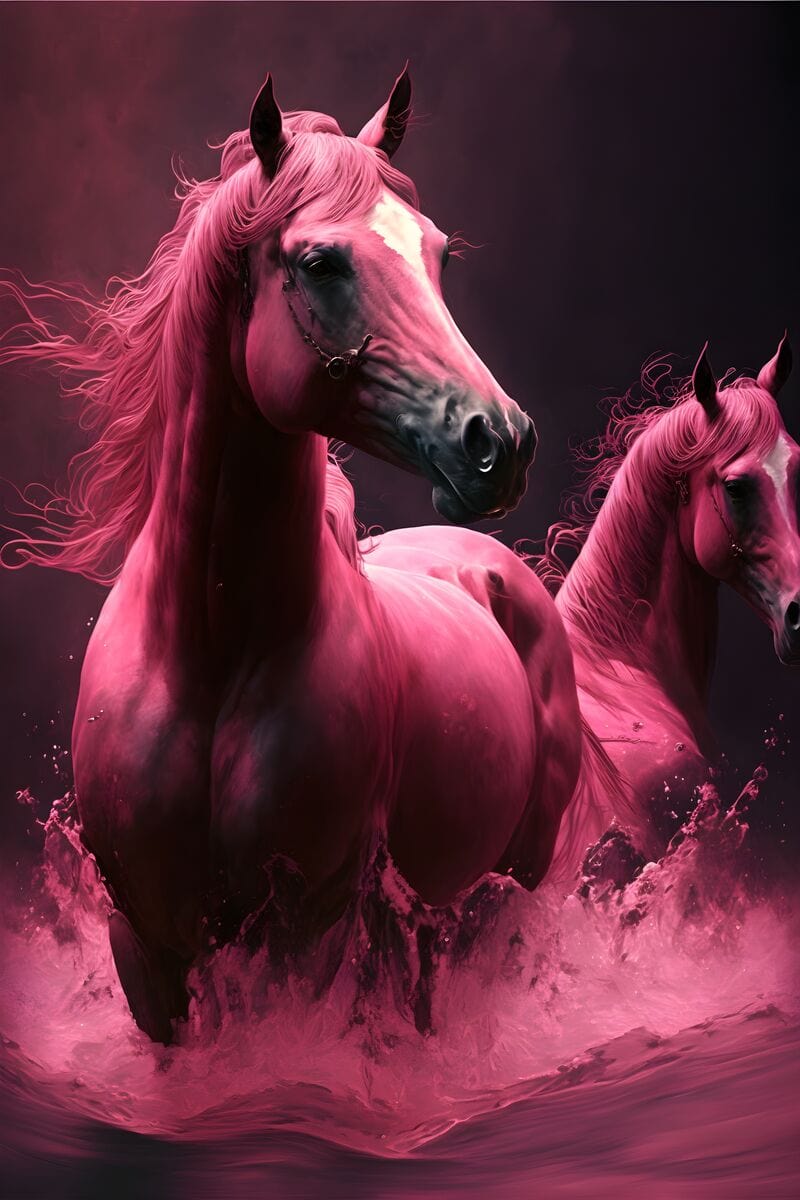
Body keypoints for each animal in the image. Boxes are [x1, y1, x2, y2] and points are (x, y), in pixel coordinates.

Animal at [0, 71, 583, 1042]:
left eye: (438, 256)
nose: (500, 442)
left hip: (508, 889)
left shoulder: (310, 923)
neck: (209, 652)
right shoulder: (144, 937)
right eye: (322, 265)